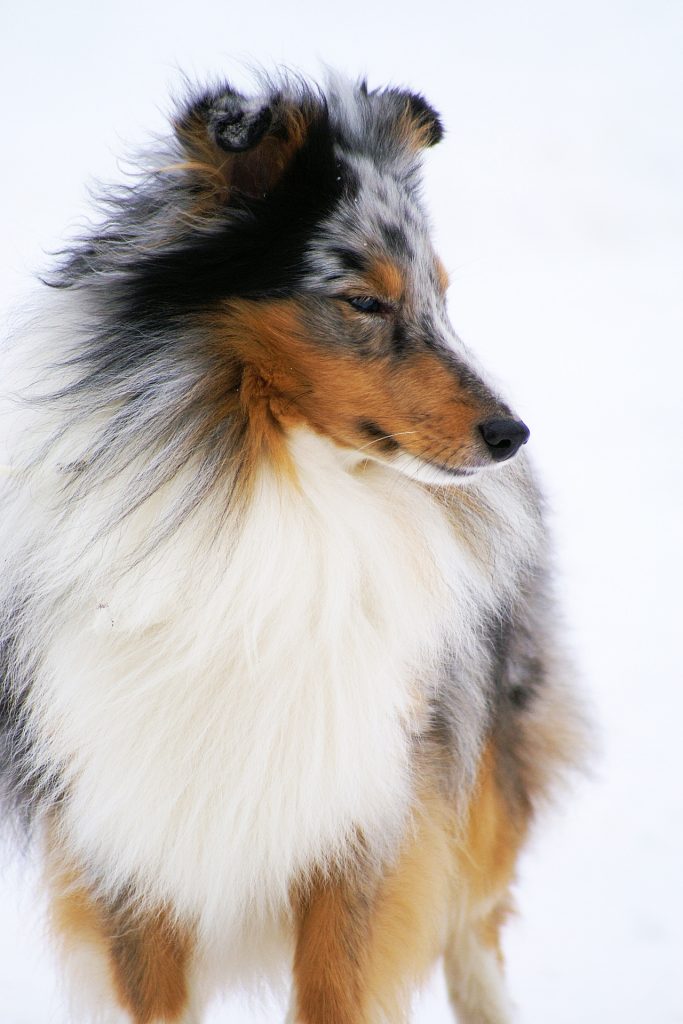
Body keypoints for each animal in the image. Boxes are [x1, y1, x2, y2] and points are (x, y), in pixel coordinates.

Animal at [1, 74, 581, 1024]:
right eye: (364, 300)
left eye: (441, 295)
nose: (512, 435)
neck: (277, 491)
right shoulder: (123, 831)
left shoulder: (370, 812)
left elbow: (341, 987)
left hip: (481, 765)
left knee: (476, 930)